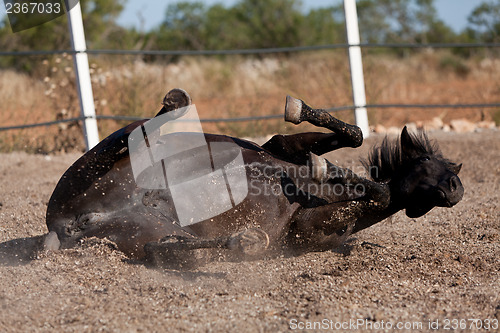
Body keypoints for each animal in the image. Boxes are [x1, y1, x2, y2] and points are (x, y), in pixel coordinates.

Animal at [44, 88, 464, 264]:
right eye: (431, 158)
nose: (456, 187)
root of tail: (69, 224)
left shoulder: (307, 227)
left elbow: (376, 191)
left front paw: (332, 174)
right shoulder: (280, 146)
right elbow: (354, 135)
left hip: (142, 232)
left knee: (164, 247)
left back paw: (245, 240)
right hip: (118, 161)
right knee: (141, 126)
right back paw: (177, 100)